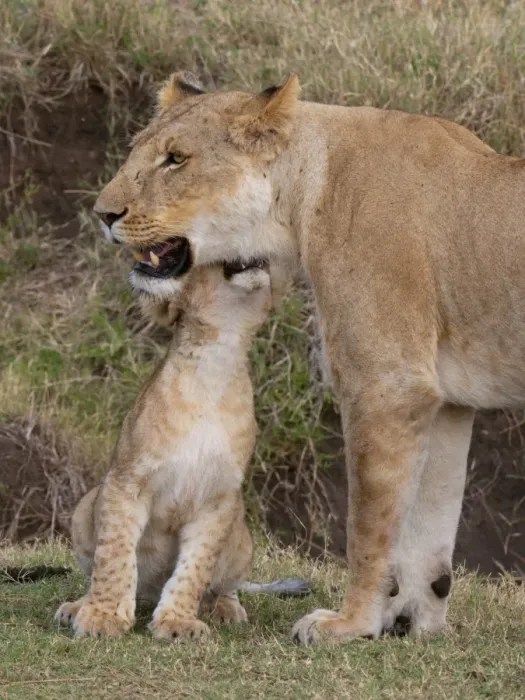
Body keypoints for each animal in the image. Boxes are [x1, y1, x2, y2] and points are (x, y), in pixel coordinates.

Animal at [55, 261, 308, 640]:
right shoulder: (127, 481)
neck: (218, 356)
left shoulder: (218, 498)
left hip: (241, 534)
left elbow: (196, 567)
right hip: (86, 507)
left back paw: (227, 610)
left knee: (226, 585)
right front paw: (103, 617)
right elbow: (115, 555)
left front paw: (177, 622)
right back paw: (76, 606)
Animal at [93, 71, 525, 644]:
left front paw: (351, 623)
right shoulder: (447, 400)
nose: (102, 214)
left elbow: (370, 526)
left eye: (176, 159)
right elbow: (431, 529)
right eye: (136, 152)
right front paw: (417, 624)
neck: (303, 197)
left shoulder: (386, 384)